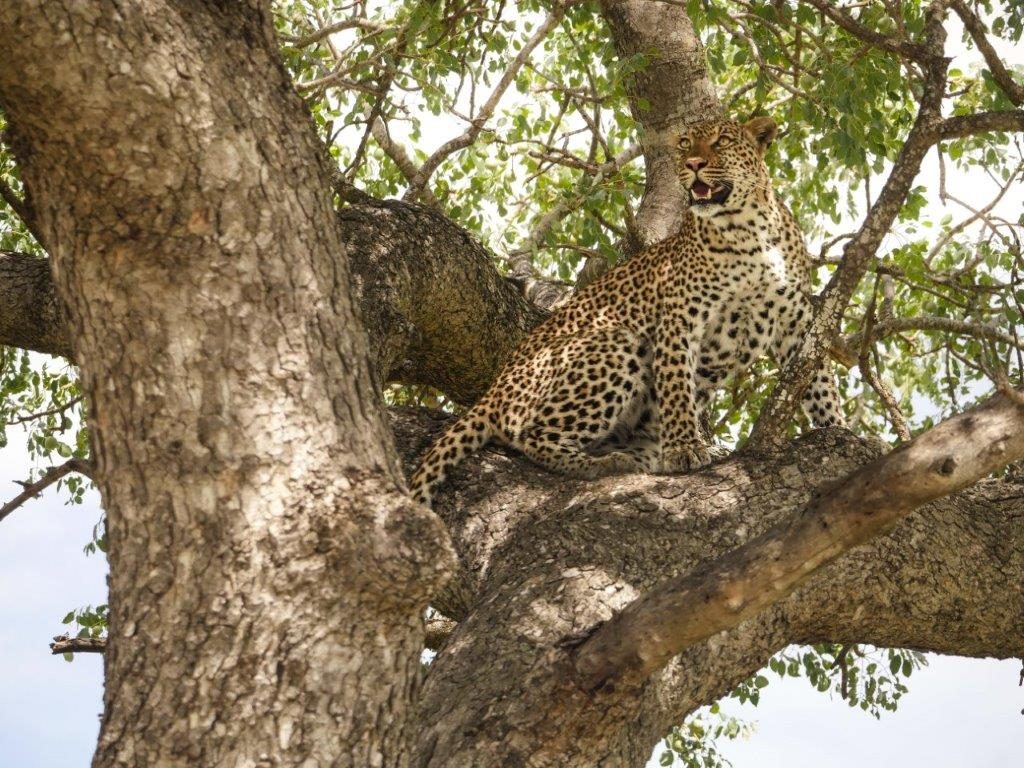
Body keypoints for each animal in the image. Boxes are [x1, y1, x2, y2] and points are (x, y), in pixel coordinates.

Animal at [411, 115, 843, 512]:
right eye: (685, 143)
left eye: (721, 141)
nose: (694, 163)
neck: (750, 230)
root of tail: (494, 388)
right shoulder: (681, 316)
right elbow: (676, 385)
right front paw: (684, 447)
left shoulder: (795, 318)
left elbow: (818, 378)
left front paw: (838, 431)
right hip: (614, 342)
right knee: (530, 435)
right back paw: (603, 464)